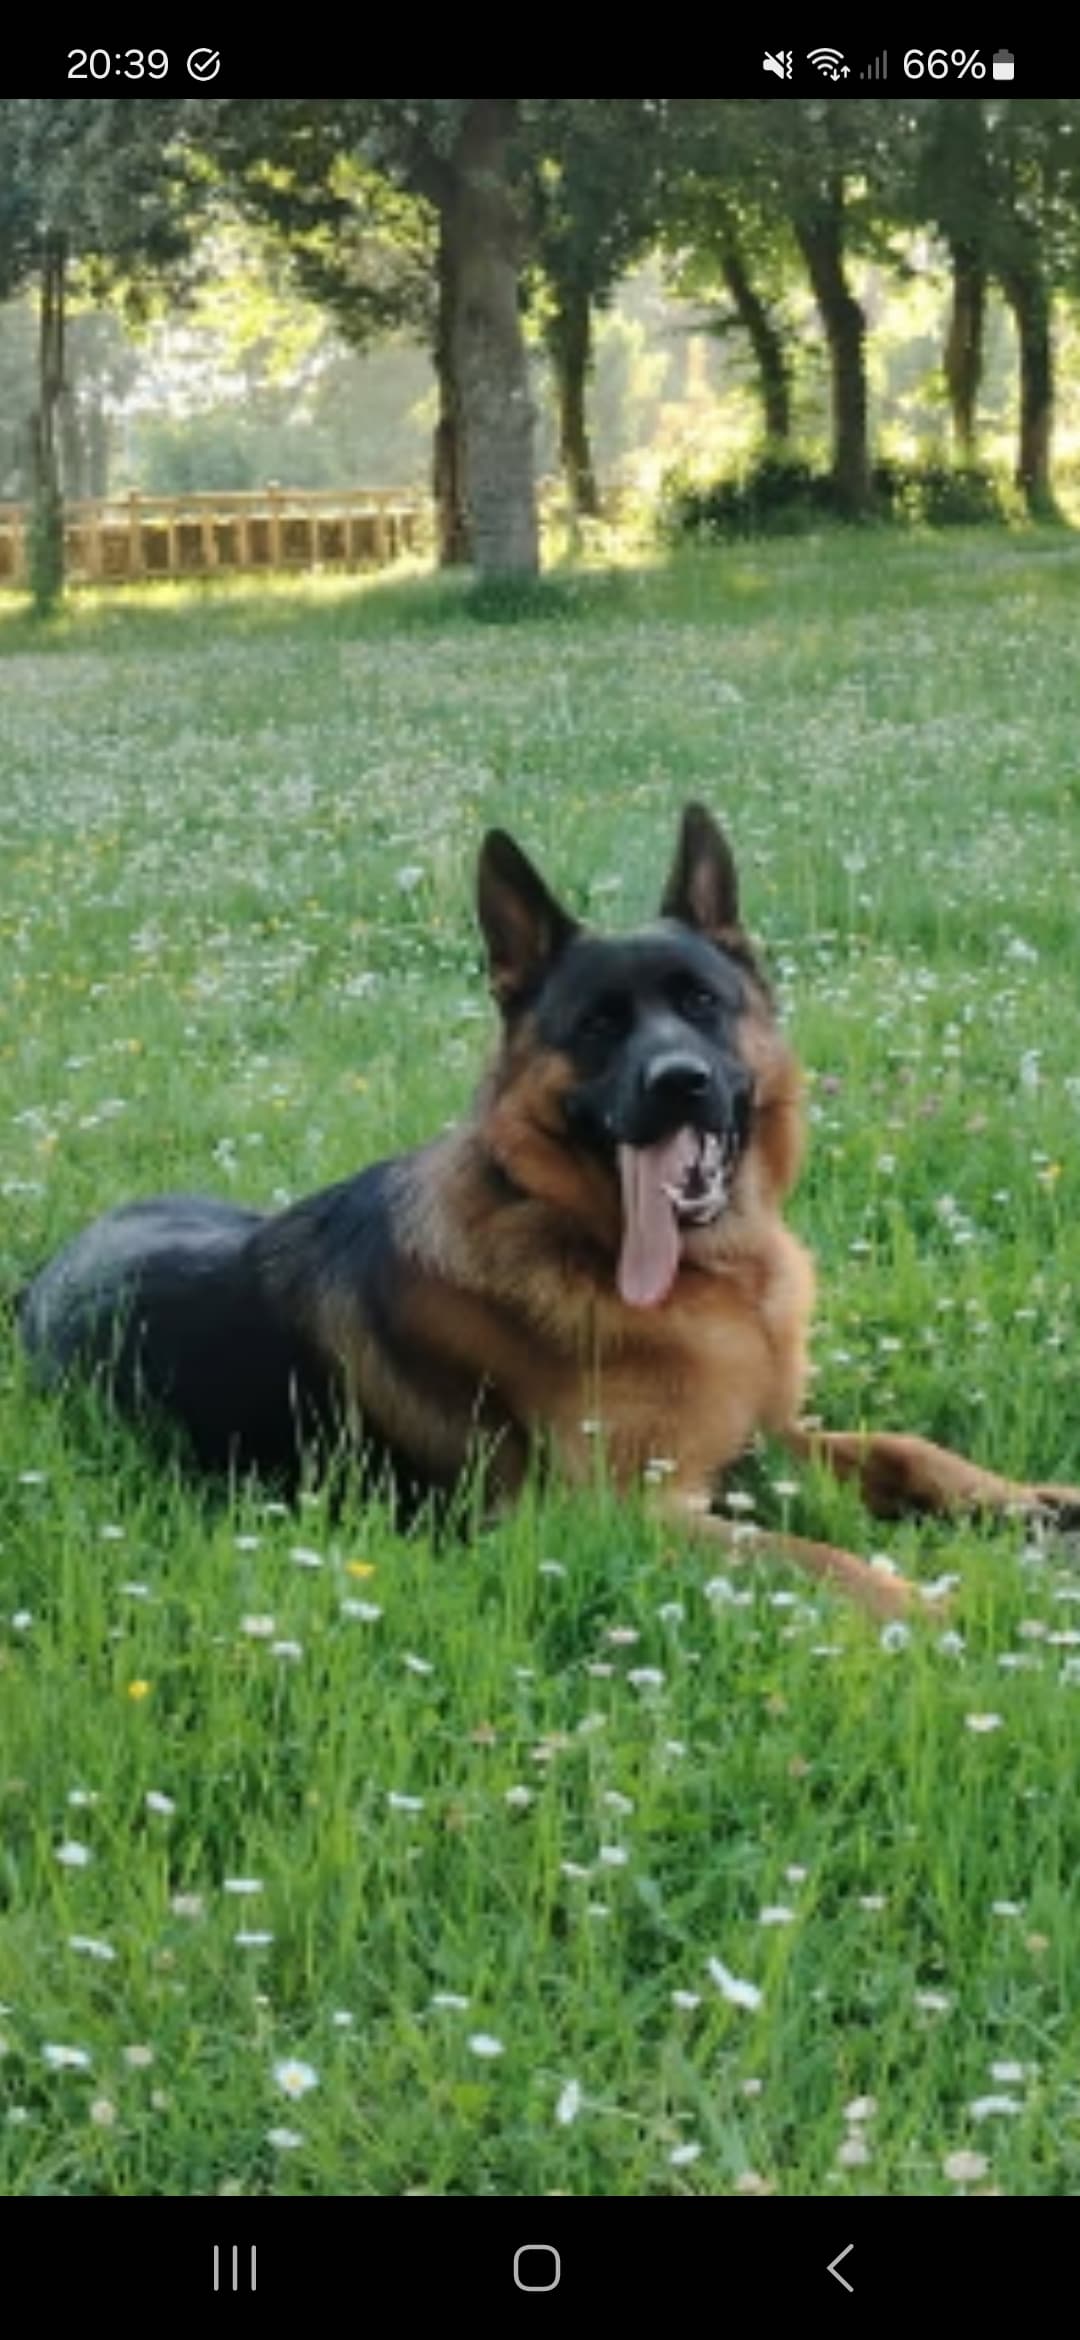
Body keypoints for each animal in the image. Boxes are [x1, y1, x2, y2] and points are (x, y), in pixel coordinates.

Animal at [18, 804, 1080, 1618]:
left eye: (703, 1002)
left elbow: (914, 1451)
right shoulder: (629, 1513)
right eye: (599, 1025)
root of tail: (40, 1276)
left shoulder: (771, 1441)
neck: (704, 1282)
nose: (681, 1082)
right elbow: (810, 1558)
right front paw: (938, 1607)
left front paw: (1039, 1505)